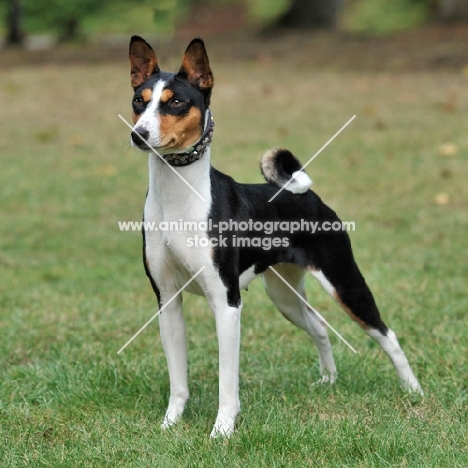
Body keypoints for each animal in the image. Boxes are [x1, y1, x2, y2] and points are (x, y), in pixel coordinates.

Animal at [126, 35, 422, 436]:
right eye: (138, 101)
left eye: (175, 102)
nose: (138, 134)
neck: (179, 198)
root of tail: (309, 195)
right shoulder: (168, 300)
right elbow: (178, 381)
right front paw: (170, 425)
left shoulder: (227, 302)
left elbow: (227, 381)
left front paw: (222, 430)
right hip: (284, 294)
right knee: (319, 326)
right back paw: (328, 381)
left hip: (345, 283)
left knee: (387, 335)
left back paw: (413, 391)